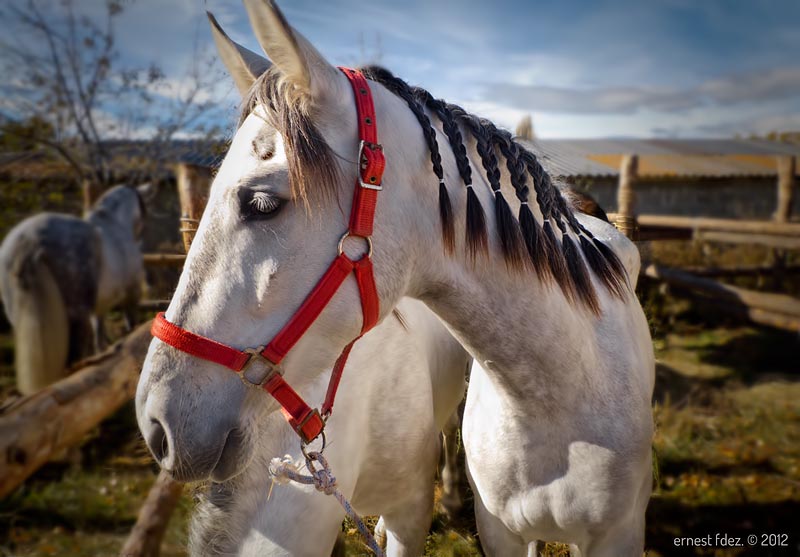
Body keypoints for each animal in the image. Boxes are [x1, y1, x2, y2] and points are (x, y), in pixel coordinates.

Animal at [0, 185, 149, 394]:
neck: (116, 226)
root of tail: (29, 239)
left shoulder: (99, 309)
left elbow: (100, 337)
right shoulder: (130, 297)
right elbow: (131, 328)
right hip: (76, 316)